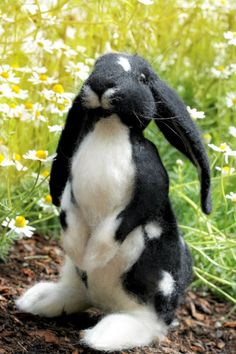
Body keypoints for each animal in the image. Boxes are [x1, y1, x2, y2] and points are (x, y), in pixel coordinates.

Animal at [17, 51, 212, 352]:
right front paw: (77, 249)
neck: (109, 128)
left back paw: (104, 335)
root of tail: (102, 303)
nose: (100, 84)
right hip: (76, 277)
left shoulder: (148, 187)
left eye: (142, 77)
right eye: (95, 67)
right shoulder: (69, 192)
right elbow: (68, 213)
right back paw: (38, 300)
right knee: (76, 291)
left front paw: (94, 255)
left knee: (148, 323)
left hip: (148, 280)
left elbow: (120, 224)